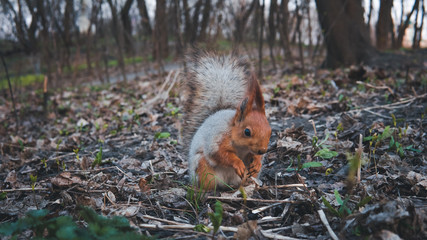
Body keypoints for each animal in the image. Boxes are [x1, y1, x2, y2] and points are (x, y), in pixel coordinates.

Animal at [183, 51, 270, 190]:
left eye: (269, 131)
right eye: (247, 132)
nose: (262, 150)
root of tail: (227, 182)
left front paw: (257, 162)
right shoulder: (217, 139)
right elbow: (220, 154)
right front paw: (237, 163)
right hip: (203, 168)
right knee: (208, 182)